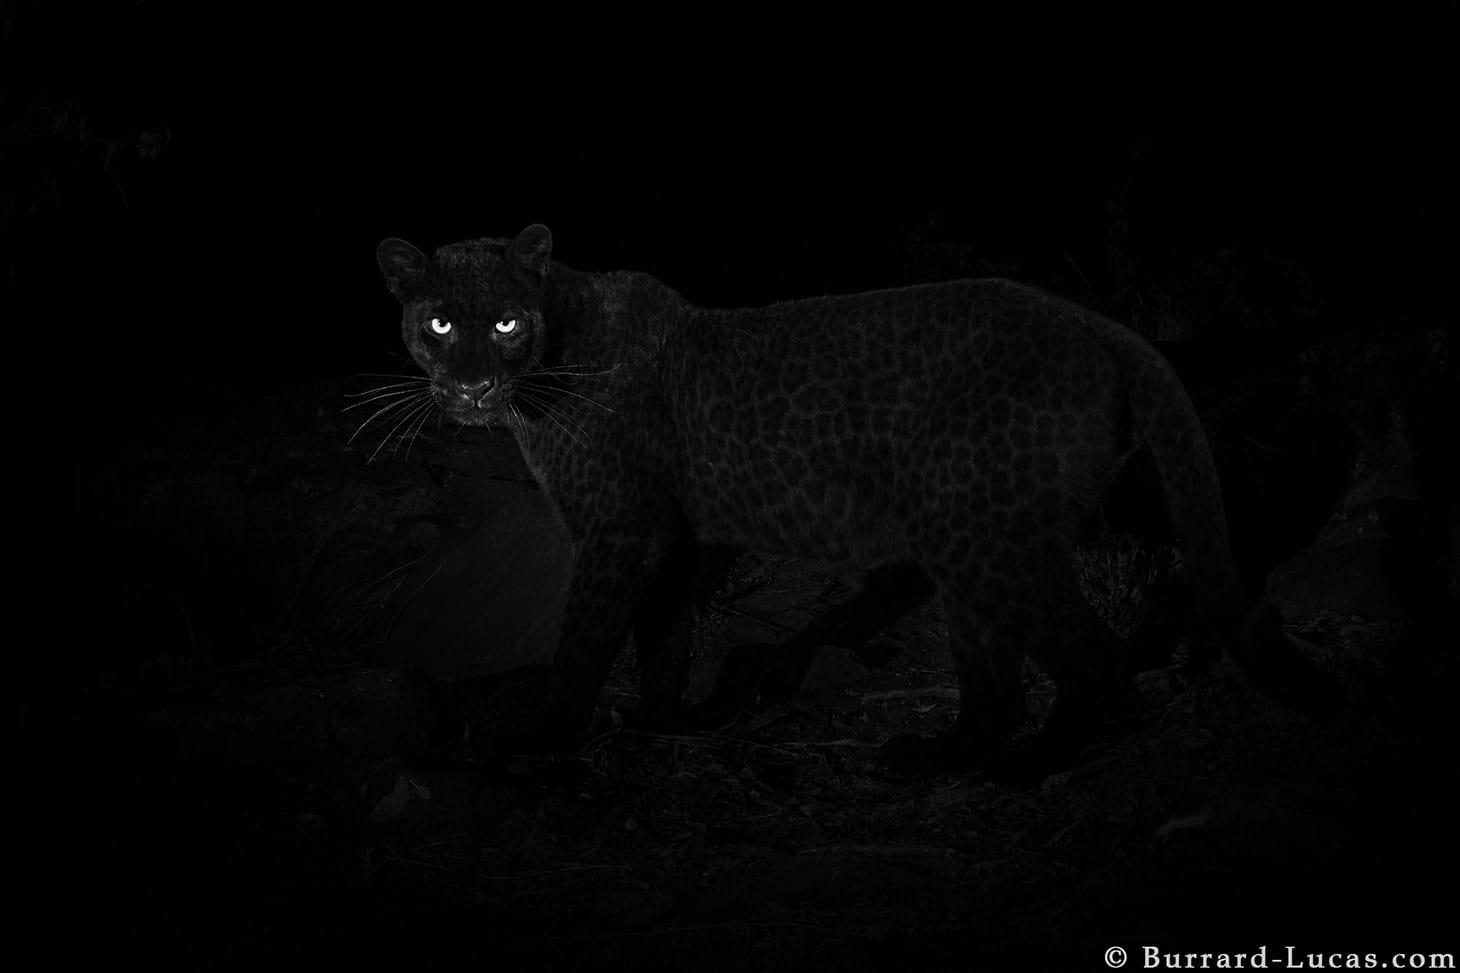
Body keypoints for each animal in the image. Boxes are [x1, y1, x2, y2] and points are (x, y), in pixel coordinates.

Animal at [374, 223, 1336, 772]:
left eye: (504, 321)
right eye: (438, 323)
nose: (467, 386)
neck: (553, 351)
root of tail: (1107, 330)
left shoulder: (618, 531)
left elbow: (583, 641)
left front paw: (544, 740)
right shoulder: (675, 539)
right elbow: (665, 637)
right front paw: (658, 727)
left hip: (986, 534)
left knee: (1095, 659)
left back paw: (1034, 761)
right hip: (965, 535)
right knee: (998, 680)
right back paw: (939, 756)